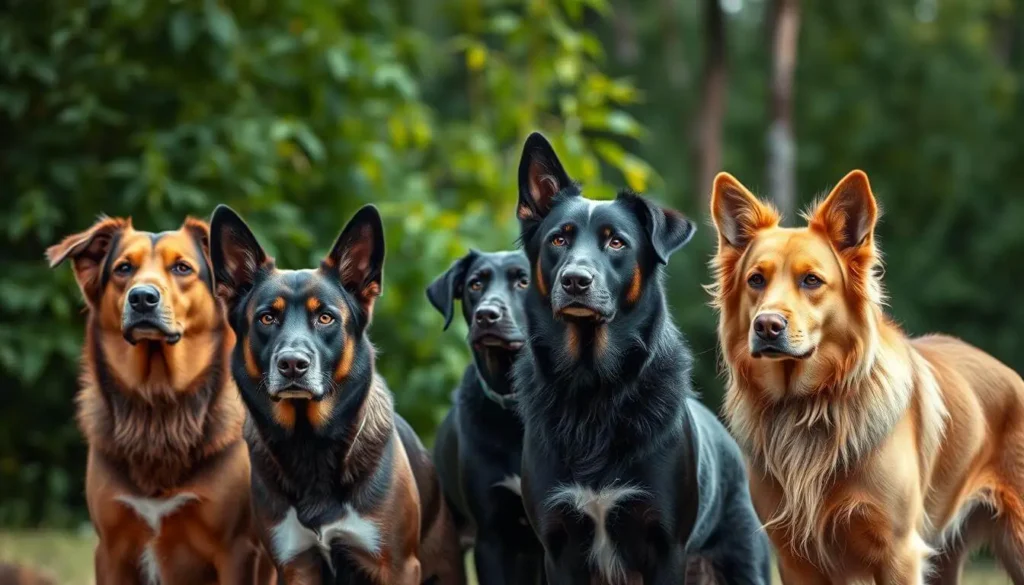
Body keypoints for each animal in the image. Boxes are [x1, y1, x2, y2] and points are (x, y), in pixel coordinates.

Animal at [47, 217, 274, 585]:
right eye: (123, 268)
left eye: (182, 267)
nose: (142, 297)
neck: (158, 402)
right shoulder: (110, 551)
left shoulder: (238, 550)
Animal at [212, 203, 468, 581]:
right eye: (267, 318)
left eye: (325, 318)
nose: (292, 364)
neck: (309, 443)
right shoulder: (295, 564)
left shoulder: (396, 565)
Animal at [512, 133, 770, 585]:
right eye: (558, 240)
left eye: (616, 242)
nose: (575, 281)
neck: (593, 385)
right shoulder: (558, 547)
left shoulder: (665, 545)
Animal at [708, 170, 1024, 585]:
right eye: (756, 280)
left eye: (812, 281)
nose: (767, 326)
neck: (809, 403)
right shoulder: (794, 559)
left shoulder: (898, 553)